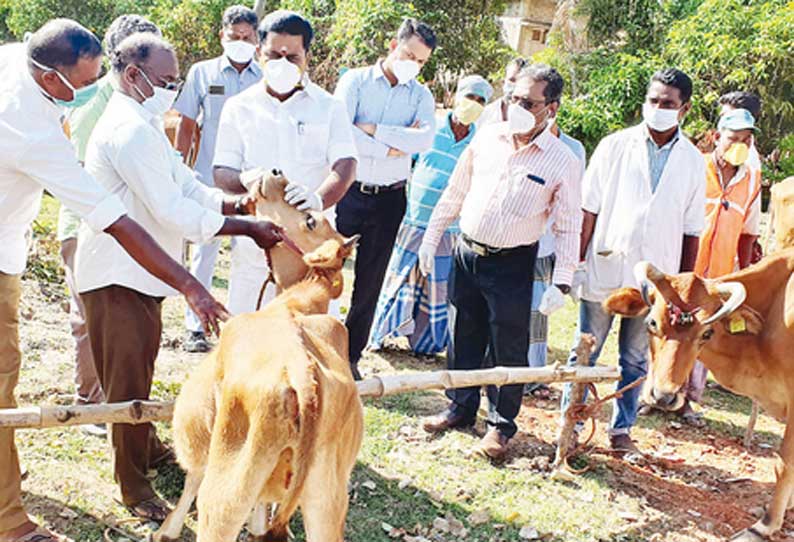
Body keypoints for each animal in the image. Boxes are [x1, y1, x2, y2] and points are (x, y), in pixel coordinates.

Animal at [153, 173, 364, 542]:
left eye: (310, 219)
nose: (277, 173)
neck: (294, 303)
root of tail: (304, 376)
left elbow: (192, 478)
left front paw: (167, 530)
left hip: (226, 495)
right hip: (326, 501)